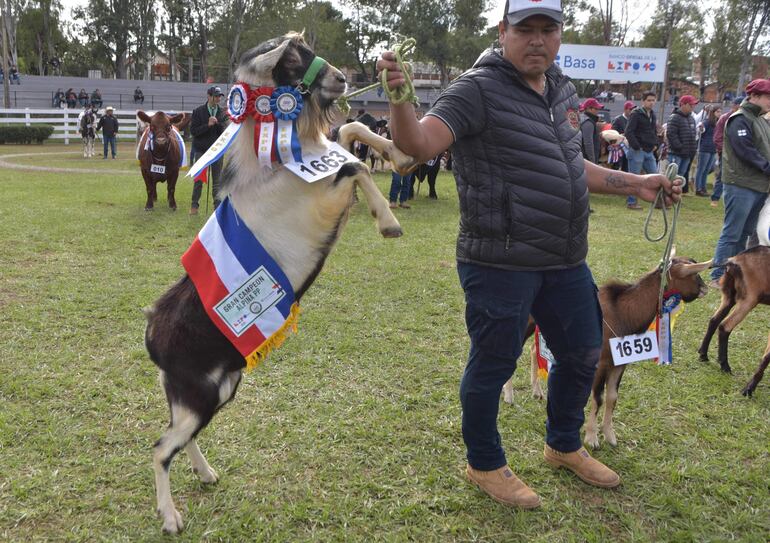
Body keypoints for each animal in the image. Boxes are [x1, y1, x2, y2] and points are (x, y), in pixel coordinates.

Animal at [143, 34, 414, 536]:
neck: (272, 168)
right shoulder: (322, 198)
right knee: (160, 448)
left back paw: (206, 473)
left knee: (177, 439)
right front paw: (389, 222)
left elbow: (350, 136)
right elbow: (354, 167)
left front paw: (398, 152)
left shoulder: (323, 165)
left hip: (214, 392)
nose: (342, 77)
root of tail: (152, 332)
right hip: (200, 395)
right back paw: (170, 517)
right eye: (290, 57)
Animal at [696, 245, 768, 396]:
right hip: (748, 300)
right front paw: (749, 390)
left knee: (714, 320)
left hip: (729, 296)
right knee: (725, 326)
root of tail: (735, 260)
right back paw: (725, 366)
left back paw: (703, 355)